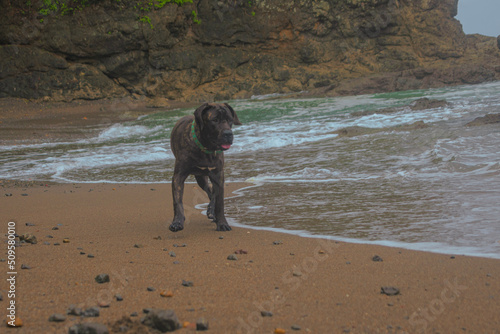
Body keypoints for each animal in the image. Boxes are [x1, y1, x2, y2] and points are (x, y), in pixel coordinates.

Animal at [170, 102, 242, 232]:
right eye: (215, 120)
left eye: (230, 120)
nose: (228, 134)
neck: (206, 147)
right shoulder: (178, 176)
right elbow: (177, 201)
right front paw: (177, 222)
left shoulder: (218, 175)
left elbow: (219, 202)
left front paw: (222, 223)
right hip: (200, 177)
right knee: (209, 190)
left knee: (212, 192)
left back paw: (211, 211)